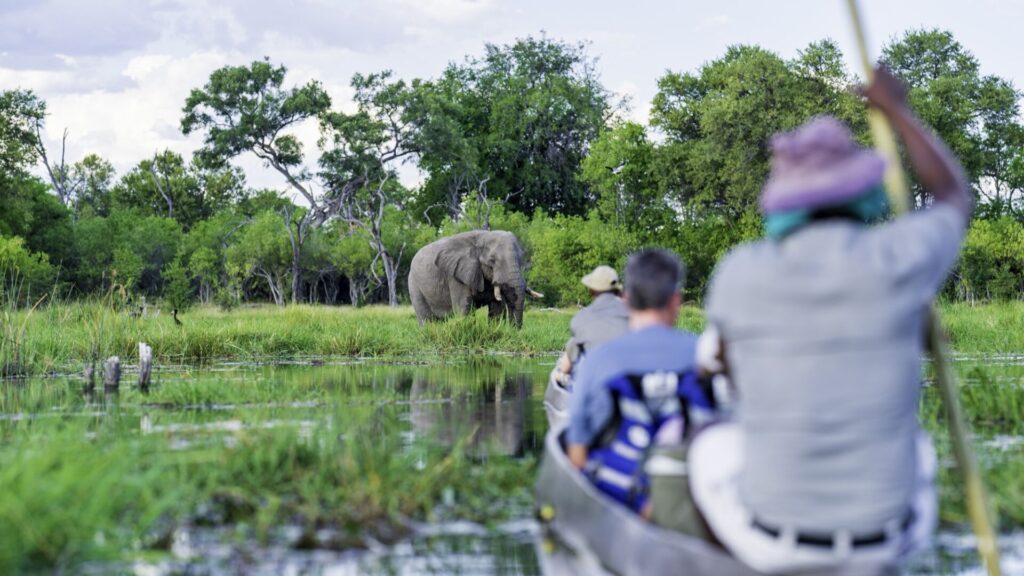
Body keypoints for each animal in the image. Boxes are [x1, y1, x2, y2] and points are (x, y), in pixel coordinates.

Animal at [408, 230, 542, 328]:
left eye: (520, 259)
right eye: (492, 261)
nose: (513, 330)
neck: (483, 237)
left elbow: (497, 309)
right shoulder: (456, 276)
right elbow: (464, 309)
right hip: (414, 285)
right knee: (427, 319)